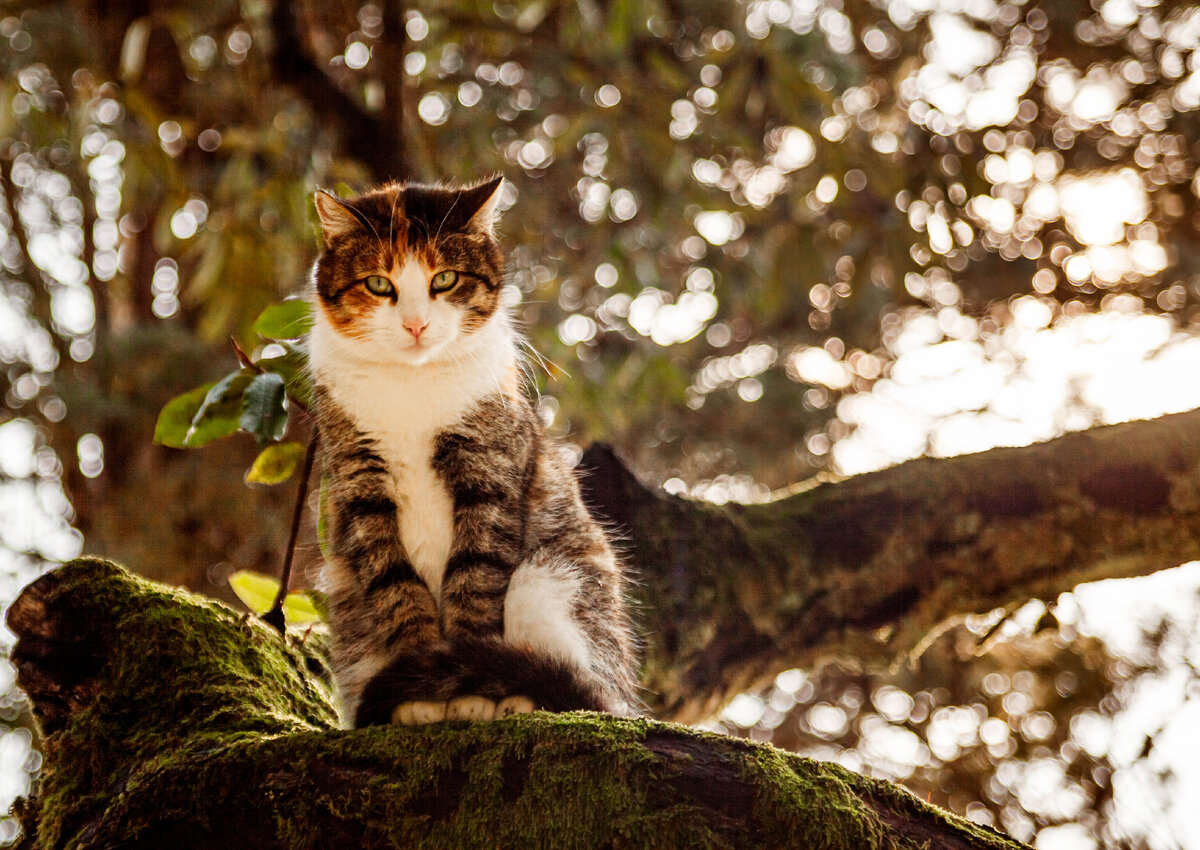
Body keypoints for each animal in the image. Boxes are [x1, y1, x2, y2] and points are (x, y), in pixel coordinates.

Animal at [304, 176, 643, 725]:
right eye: (378, 284)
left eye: (444, 279)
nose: (416, 324)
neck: (412, 386)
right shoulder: (361, 484)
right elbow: (396, 586)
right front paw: (421, 689)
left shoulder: (488, 471)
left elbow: (475, 578)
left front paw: (468, 690)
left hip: (551, 581)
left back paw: (519, 696)